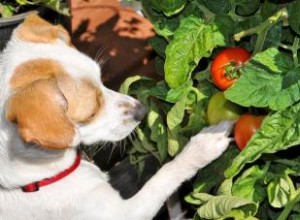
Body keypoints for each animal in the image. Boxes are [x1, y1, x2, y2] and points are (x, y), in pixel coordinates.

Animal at [0, 14, 234, 219]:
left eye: (101, 79)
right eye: (92, 111)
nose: (142, 110)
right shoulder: (126, 212)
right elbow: (165, 175)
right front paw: (202, 146)